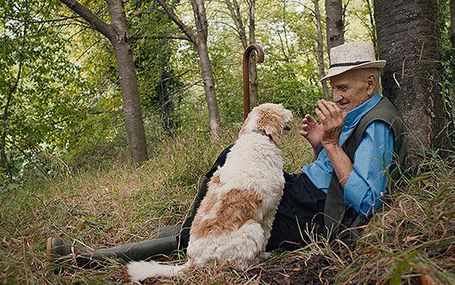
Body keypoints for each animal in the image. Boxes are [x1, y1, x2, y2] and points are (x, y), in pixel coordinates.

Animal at [126, 103, 294, 280]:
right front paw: (265, 252)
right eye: (281, 108)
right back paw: (256, 261)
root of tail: (193, 260)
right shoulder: (270, 211)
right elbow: (267, 235)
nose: (291, 112)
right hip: (252, 228)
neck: (257, 136)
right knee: (236, 263)